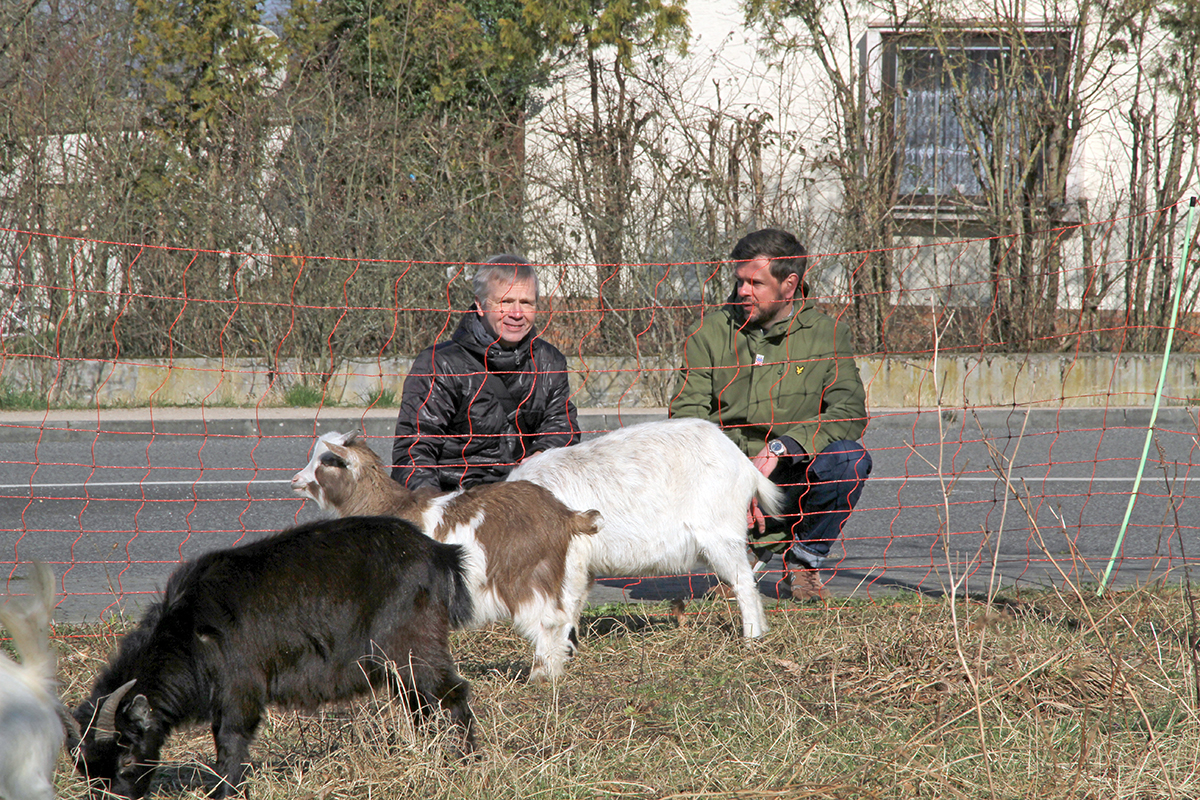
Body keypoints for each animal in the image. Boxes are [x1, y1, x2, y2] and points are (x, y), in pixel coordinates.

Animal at [68, 515, 475, 796]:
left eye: (127, 757)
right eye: (85, 771)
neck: (188, 632)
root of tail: (439, 553)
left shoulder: (238, 687)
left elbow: (230, 740)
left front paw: (224, 792)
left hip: (413, 644)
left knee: (452, 694)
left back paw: (464, 762)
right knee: (420, 703)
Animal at [292, 431, 600, 681]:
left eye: (326, 461)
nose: (296, 480)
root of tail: (566, 516)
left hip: (528, 576)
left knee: (548, 620)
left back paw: (540, 675)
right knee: (564, 618)